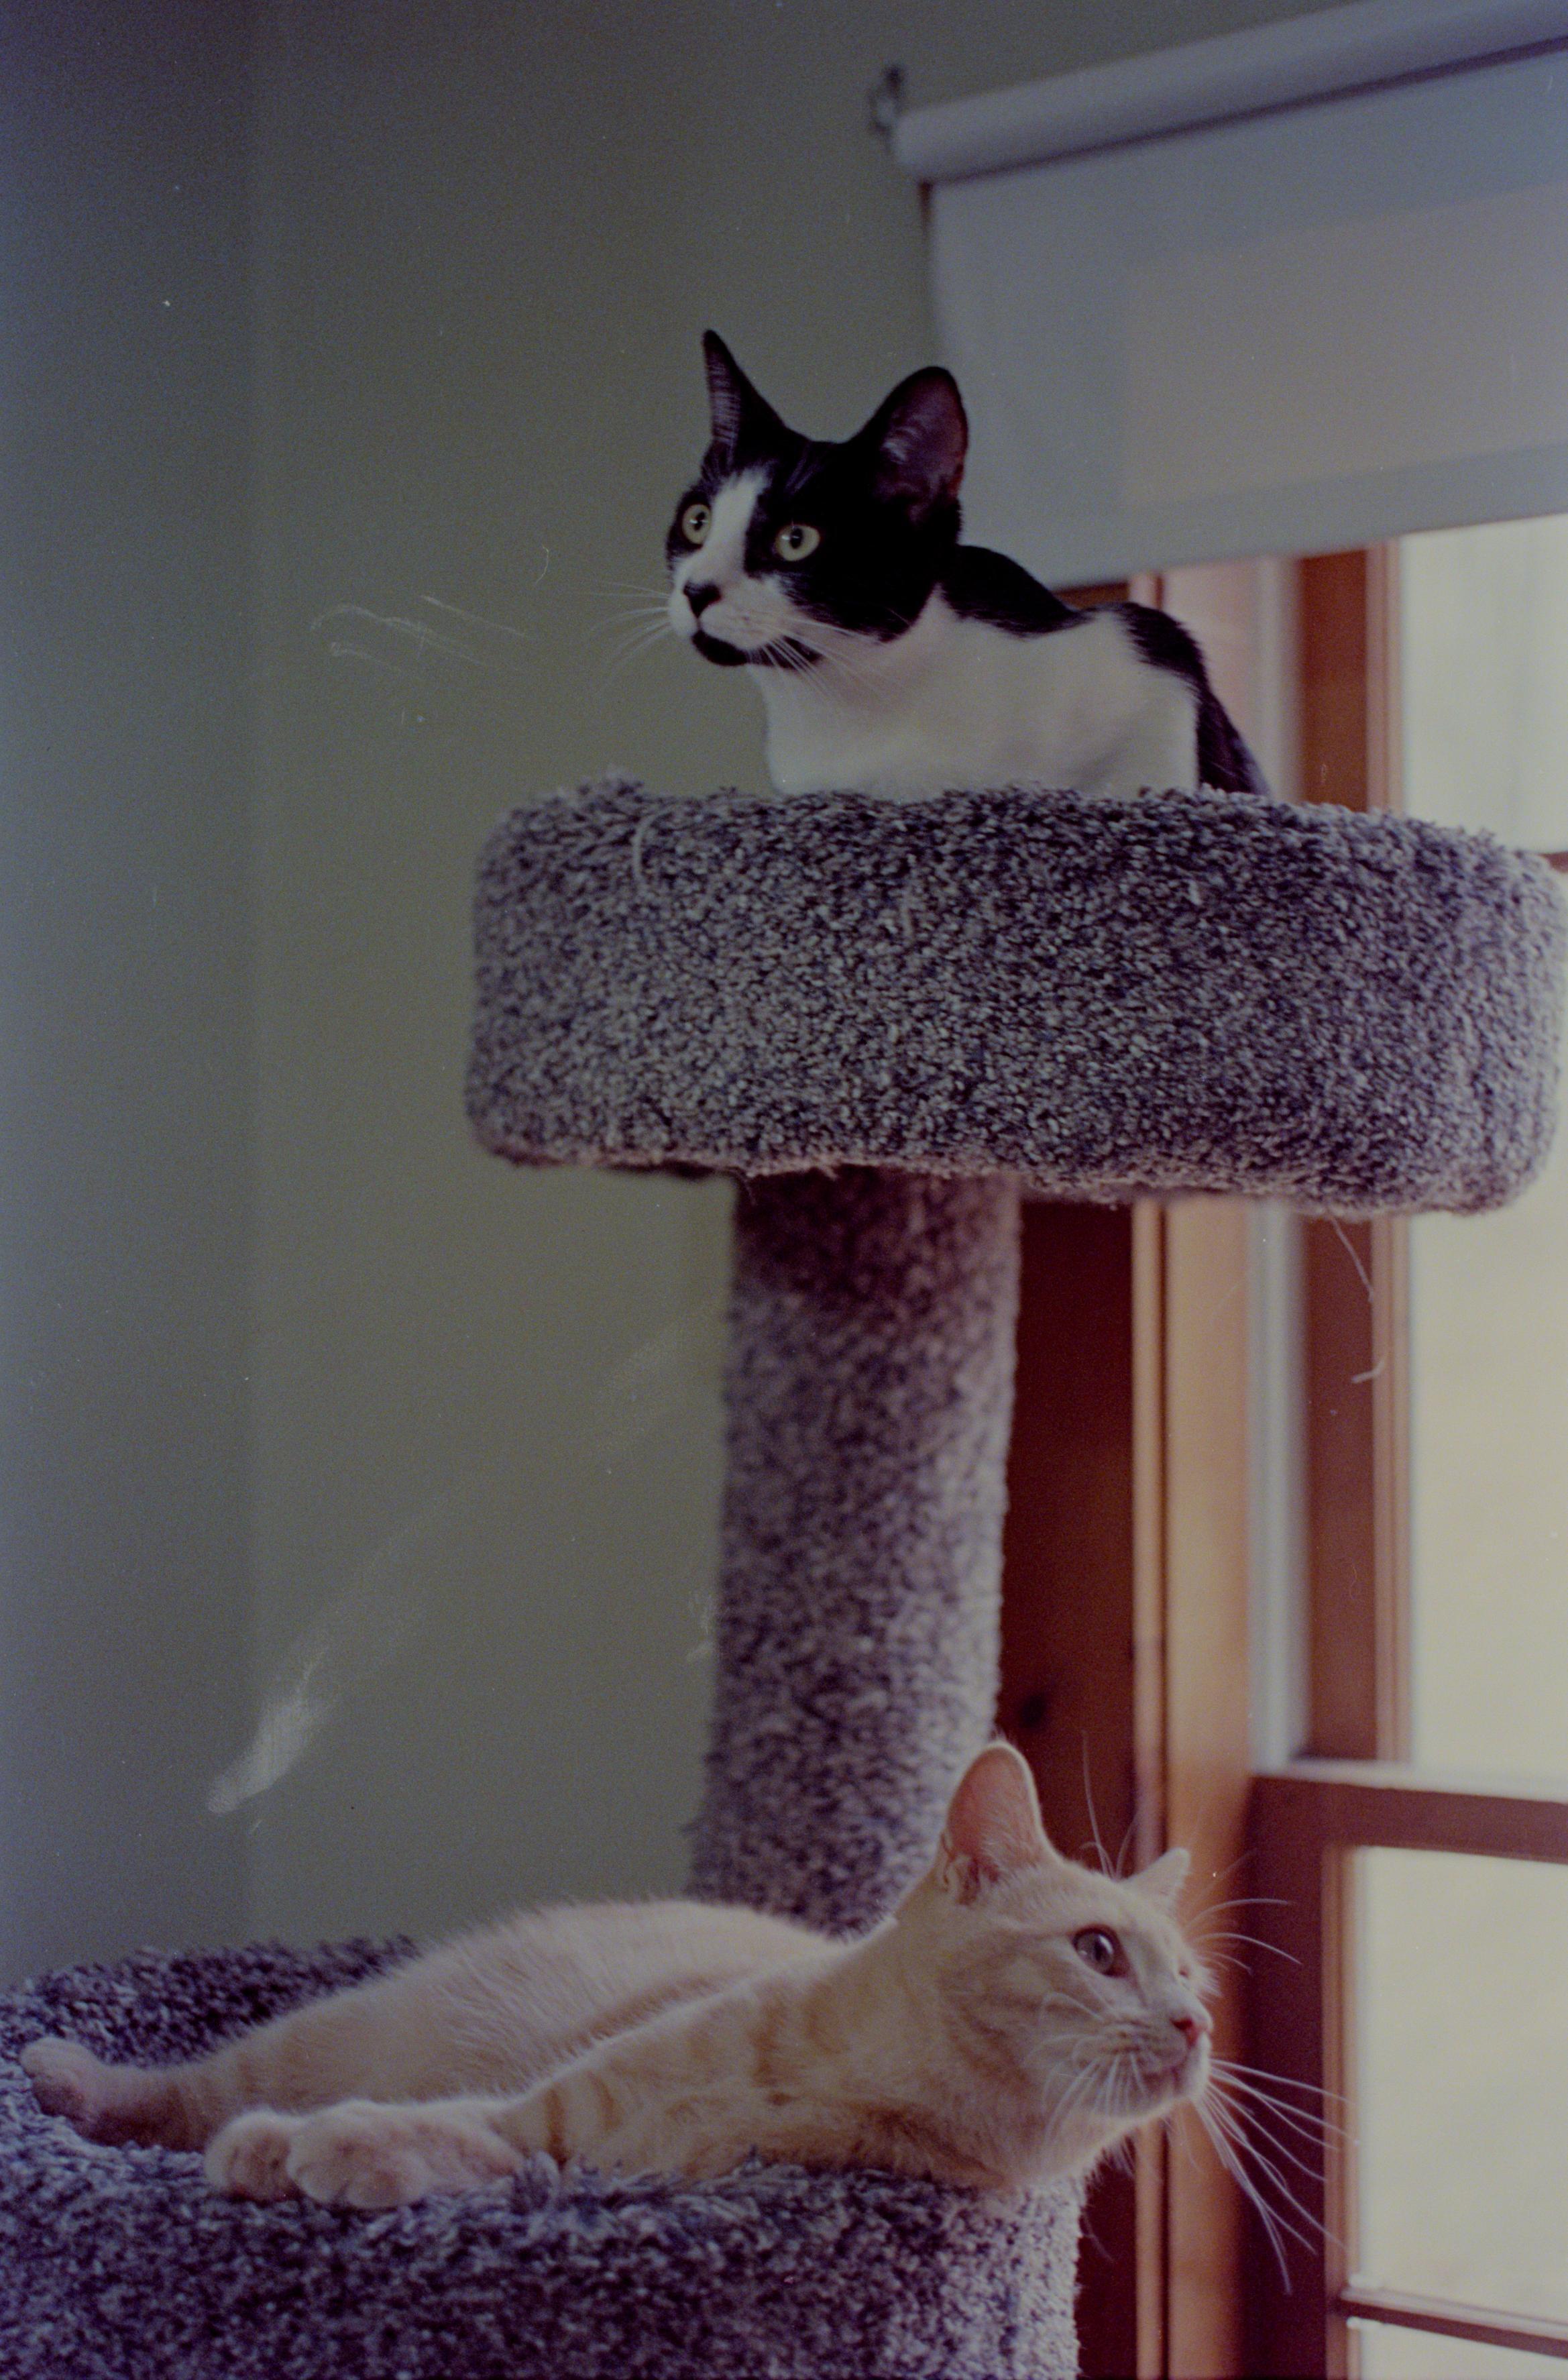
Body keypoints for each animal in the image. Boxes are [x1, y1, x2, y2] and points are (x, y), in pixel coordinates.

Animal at [21, 1751, 1213, 2208]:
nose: (1193, 2025)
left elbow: (474, 2143)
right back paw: (68, 2076)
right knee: (189, 2091)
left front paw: (338, 2152)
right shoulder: (569, 2100)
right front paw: (283, 2148)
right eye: (1099, 1951)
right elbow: (477, 2119)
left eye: (1195, 1982)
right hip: (332, 2033)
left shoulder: (595, 2153)